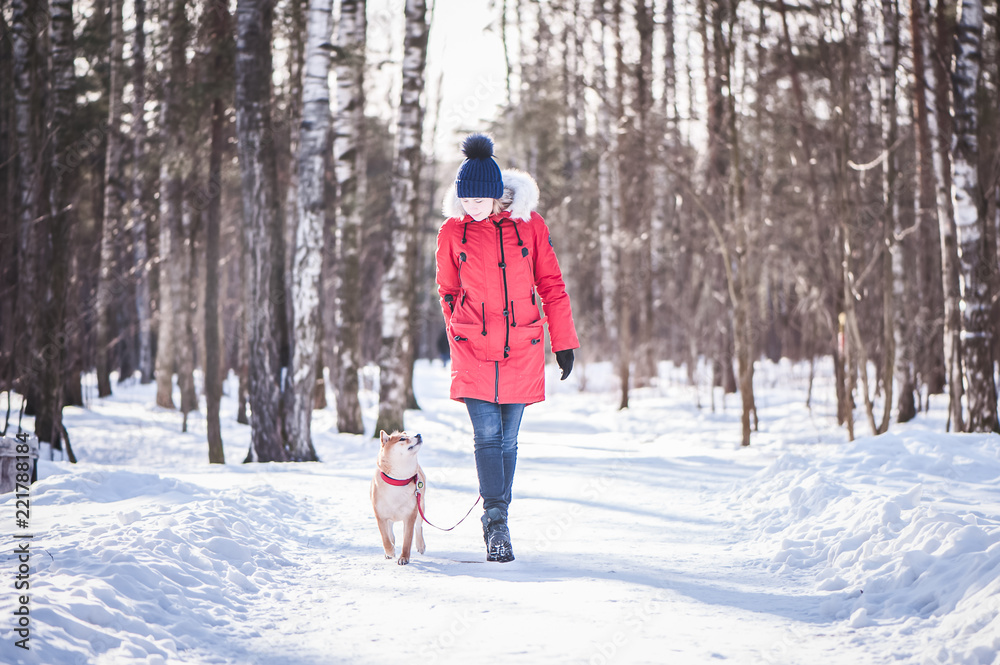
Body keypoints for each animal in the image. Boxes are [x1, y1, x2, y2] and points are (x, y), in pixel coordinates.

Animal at [372, 428, 426, 564]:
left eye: (409, 435)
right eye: (402, 439)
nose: (418, 435)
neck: (398, 480)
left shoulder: (410, 516)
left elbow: (407, 540)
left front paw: (404, 558)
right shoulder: (380, 516)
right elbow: (385, 537)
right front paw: (390, 551)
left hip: (421, 505)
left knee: (419, 527)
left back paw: (420, 545)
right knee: (390, 530)